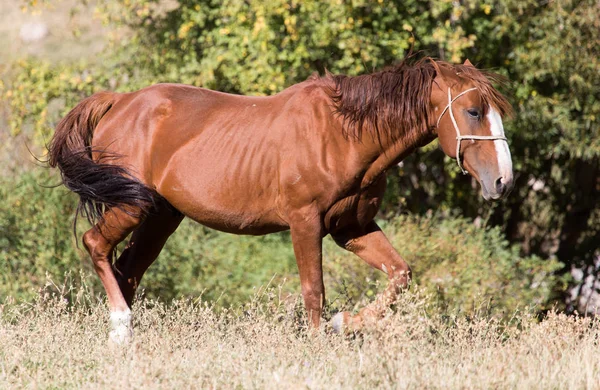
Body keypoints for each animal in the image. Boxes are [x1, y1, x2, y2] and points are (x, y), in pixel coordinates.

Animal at [49, 58, 512, 344]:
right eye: (473, 111)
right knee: (96, 245)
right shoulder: (306, 223)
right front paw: (319, 341)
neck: (344, 134)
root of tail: (119, 102)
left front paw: (345, 324)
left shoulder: (352, 228)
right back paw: (121, 325)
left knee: (127, 270)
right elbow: (314, 291)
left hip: (161, 217)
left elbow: (400, 274)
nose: (502, 182)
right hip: (131, 207)